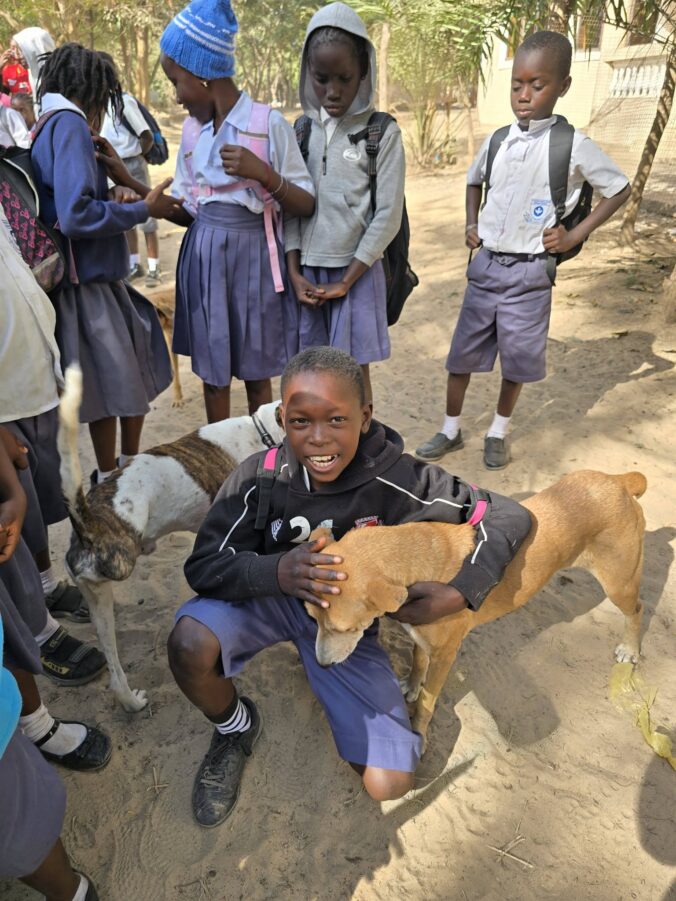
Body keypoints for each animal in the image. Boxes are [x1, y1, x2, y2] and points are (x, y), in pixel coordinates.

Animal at [58, 365, 285, 712]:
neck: (264, 432)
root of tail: (89, 520)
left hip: (97, 598)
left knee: (114, 669)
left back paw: (131, 702)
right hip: (118, 568)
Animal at [308, 470, 646, 748]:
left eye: (344, 628)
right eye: (312, 618)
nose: (321, 665)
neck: (414, 560)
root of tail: (619, 481)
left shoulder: (445, 655)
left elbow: (428, 702)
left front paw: (419, 732)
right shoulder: (420, 637)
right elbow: (417, 662)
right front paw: (412, 685)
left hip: (619, 583)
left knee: (637, 609)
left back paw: (630, 648)